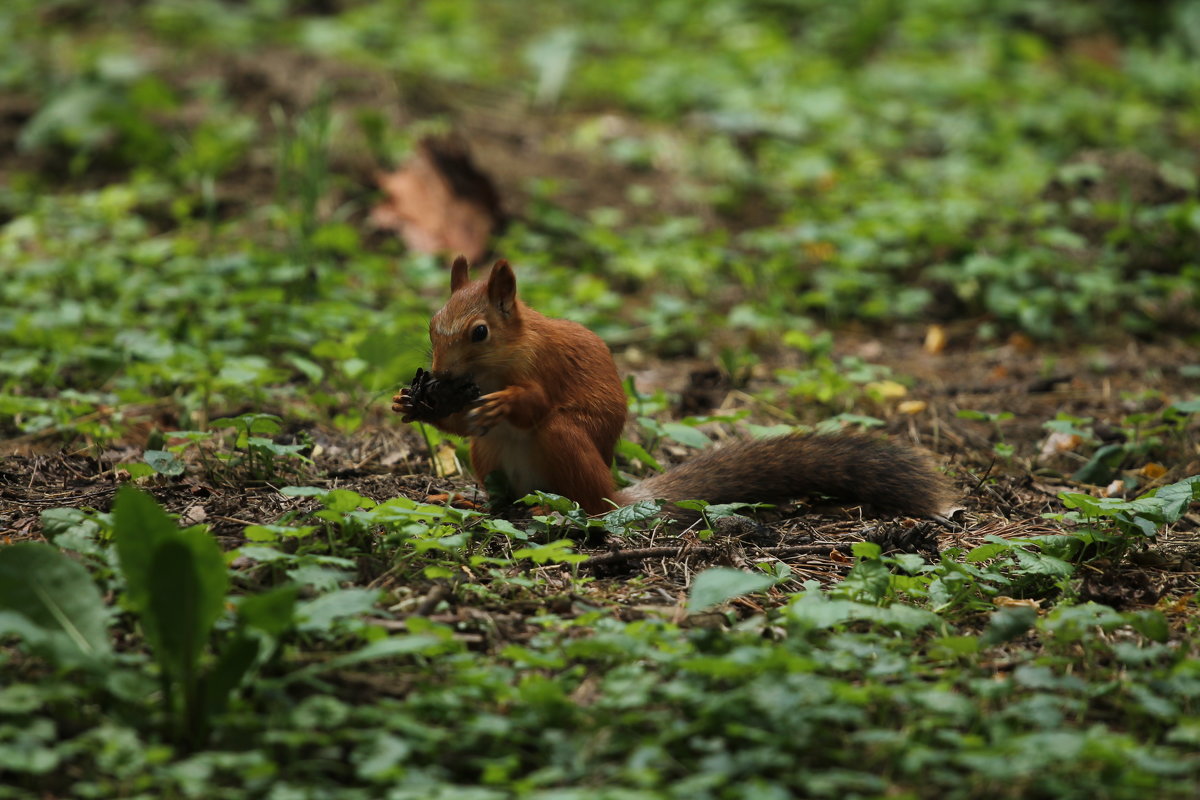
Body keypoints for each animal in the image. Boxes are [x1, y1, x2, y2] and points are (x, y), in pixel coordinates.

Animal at [393, 257, 955, 520]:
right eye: (432, 324)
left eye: (480, 332)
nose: (438, 375)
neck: (496, 366)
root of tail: (615, 490)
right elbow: (459, 421)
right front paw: (412, 404)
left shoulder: (545, 367)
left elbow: (534, 404)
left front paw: (509, 400)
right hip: (487, 453)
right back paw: (481, 503)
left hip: (566, 444)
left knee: (586, 500)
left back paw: (556, 509)